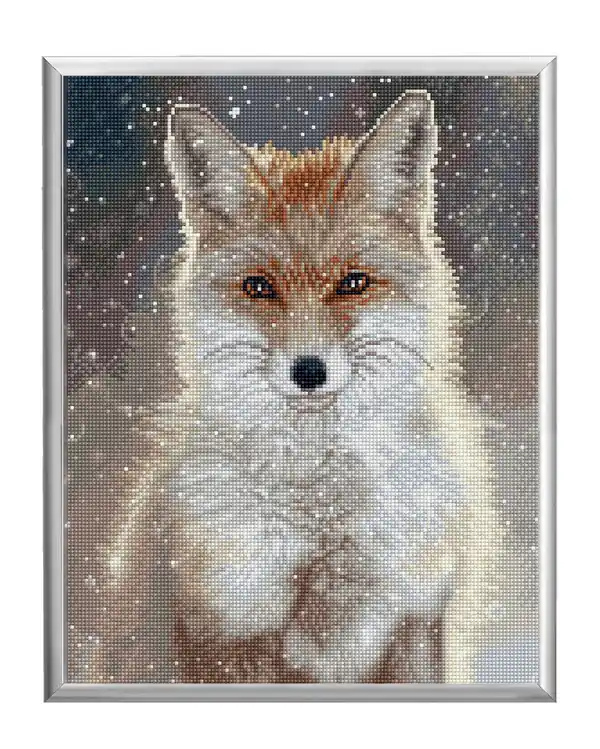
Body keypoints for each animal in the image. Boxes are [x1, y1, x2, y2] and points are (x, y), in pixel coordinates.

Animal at [67, 90, 501, 685]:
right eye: (259, 287)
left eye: (353, 282)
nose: (309, 371)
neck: (324, 518)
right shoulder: (227, 632)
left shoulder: (416, 619)